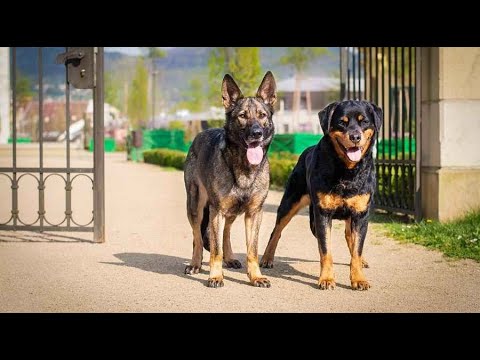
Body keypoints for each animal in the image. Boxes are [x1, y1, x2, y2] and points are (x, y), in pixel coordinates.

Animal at [183, 71, 276, 288]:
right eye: (242, 116)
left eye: (262, 115)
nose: (257, 134)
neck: (244, 168)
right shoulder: (216, 211)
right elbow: (215, 250)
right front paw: (216, 276)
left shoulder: (254, 213)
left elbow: (252, 250)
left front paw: (256, 276)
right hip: (195, 206)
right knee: (198, 236)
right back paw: (195, 264)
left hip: (232, 211)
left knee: (225, 232)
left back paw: (230, 257)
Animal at [258, 99, 382, 290]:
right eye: (342, 122)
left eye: (365, 121)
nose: (355, 137)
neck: (347, 171)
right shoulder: (322, 214)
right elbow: (325, 249)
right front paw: (326, 279)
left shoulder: (361, 214)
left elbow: (357, 248)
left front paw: (359, 278)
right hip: (291, 201)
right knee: (277, 230)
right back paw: (267, 258)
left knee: (349, 236)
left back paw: (362, 261)